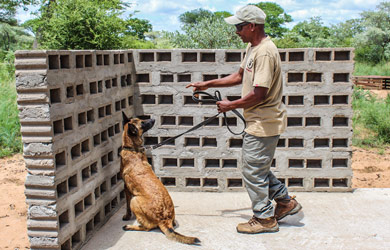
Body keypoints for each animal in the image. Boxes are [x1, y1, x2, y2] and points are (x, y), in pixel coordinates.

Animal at [119, 112, 201, 245]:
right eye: (142, 122)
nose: (153, 119)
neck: (132, 149)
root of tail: (164, 220)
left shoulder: (126, 187)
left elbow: (126, 206)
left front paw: (126, 217)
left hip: (134, 200)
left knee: (147, 228)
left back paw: (130, 226)